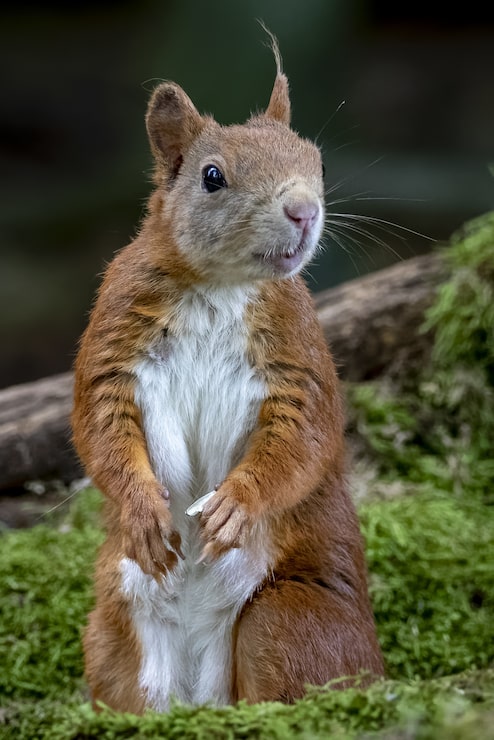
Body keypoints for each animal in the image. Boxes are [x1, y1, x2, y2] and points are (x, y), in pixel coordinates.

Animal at [71, 38, 384, 713]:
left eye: (317, 162)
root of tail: (200, 686)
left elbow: (302, 439)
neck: (219, 285)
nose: (304, 211)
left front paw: (237, 504)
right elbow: (100, 425)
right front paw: (141, 509)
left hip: (285, 619)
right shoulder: (114, 334)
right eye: (212, 176)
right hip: (114, 627)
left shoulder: (298, 351)